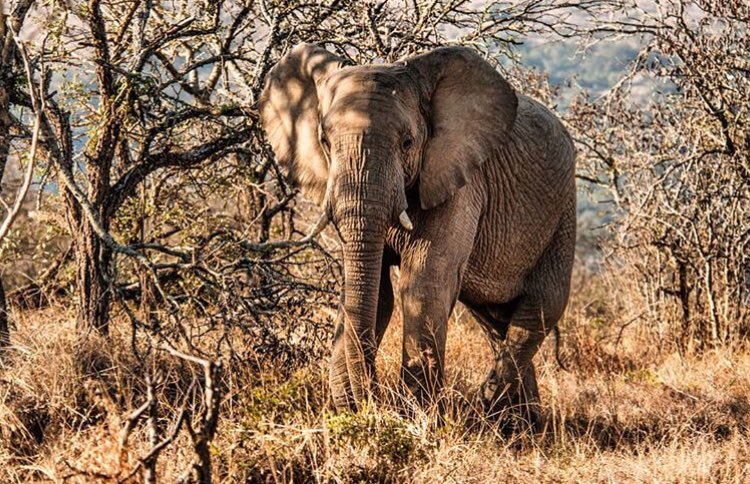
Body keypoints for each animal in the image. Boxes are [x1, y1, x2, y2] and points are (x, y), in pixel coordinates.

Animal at [259, 43, 576, 421]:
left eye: (407, 142)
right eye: (325, 140)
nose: (368, 397)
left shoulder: (460, 182)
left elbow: (424, 280)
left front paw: (415, 416)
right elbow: (376, 291)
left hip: (562, 213)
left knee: (541, 307)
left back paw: (490, 411)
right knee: (494, 319)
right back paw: (517, 423)